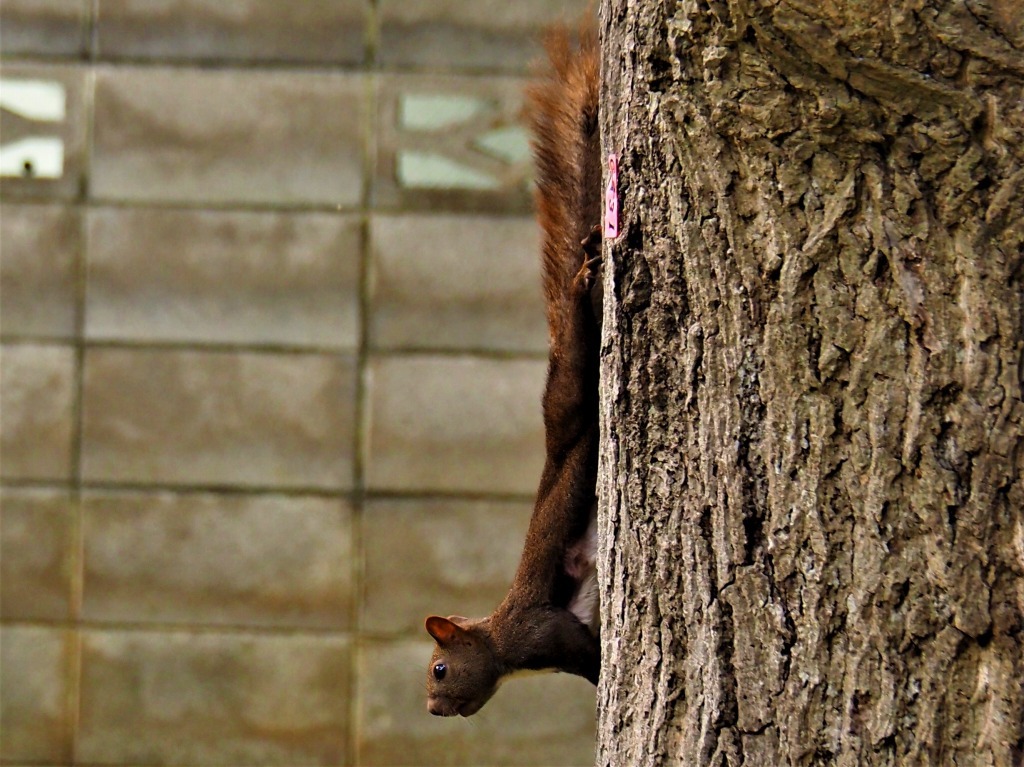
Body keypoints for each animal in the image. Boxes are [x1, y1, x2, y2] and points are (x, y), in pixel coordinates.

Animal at [421, 23, 598, 716]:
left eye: (440, 669)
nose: (432, 709)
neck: (500, 643)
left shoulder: (543, 630)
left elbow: (590, 655)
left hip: (569, 392)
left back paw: (582, 283)